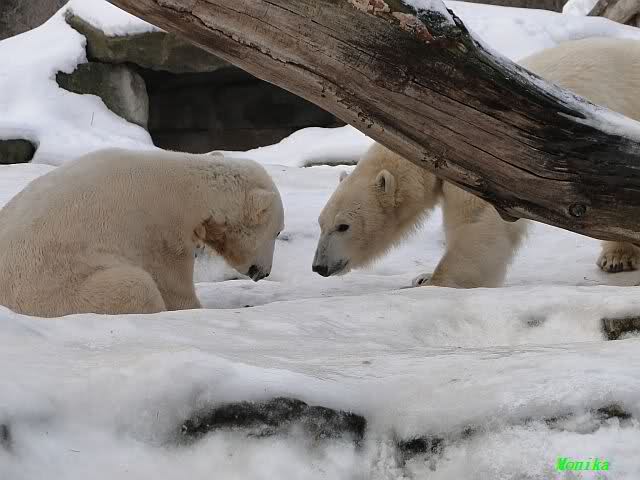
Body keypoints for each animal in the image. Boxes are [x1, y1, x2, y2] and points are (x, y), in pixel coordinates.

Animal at [0, 148, 284, 317]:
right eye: (278, 232)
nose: (264, 272)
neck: (194, 191)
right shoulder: (161, 228)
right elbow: (171, 281)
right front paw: (194, 310)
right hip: (57, 292)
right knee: (135, 285)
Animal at [313, 37, 640, 287]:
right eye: (321, 223)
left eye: (343, 226)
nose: (319, 267)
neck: (428, 134)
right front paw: (422, 277)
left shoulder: (479, 167)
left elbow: (477, 224)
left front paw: (433, 281)